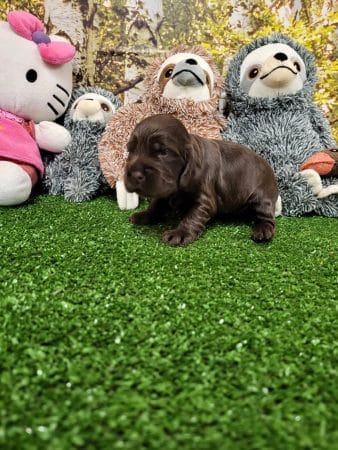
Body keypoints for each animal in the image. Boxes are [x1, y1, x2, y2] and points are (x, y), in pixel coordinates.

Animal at [124, 113, 278, 246]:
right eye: (130, 150)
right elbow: (156, 204)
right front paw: (144, 215)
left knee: (266, 217)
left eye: (164, 152)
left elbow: (192, 216)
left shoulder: (204, 197)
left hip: (261, 195)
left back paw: (262, 230)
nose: (135, 174)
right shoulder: (164, 191)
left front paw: (179, 233)